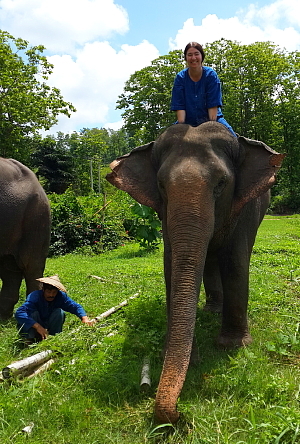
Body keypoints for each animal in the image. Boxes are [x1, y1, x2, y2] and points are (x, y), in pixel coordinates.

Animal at [106, 121, 286, 424]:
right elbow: (171, 265)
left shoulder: (245, 207)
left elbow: (235, 261)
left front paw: (232, 346)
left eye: (221, 184)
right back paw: (211, 309)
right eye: (161, 186)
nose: (180, 414)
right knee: (209, 260)